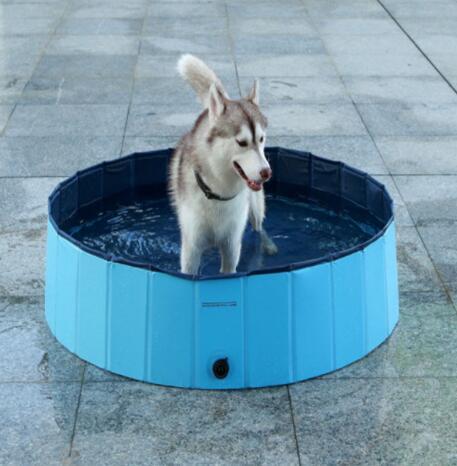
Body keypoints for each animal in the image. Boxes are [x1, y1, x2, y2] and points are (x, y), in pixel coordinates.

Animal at [169, 55, 276, 274]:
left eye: (261, 139)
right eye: (242, 142)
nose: (266, 173)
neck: (219, 193)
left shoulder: (231, 246)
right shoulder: (191, 249)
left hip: (254, 209)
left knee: (259, 228)